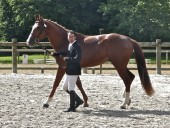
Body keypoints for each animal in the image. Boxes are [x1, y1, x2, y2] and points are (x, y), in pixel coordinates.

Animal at [26, 14, 154, 109]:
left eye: (38, 28)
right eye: (32, 27)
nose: (29, 42)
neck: (66, 42)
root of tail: (128, 39)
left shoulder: (62, 67)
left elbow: (56, 84)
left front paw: (47, 102)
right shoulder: (72, 68)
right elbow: (75, 85)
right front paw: (84, 101)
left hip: (119, 66)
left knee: (127, 80)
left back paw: (123, 104)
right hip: (121, 65)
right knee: (131, 77)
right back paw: (127, 100)